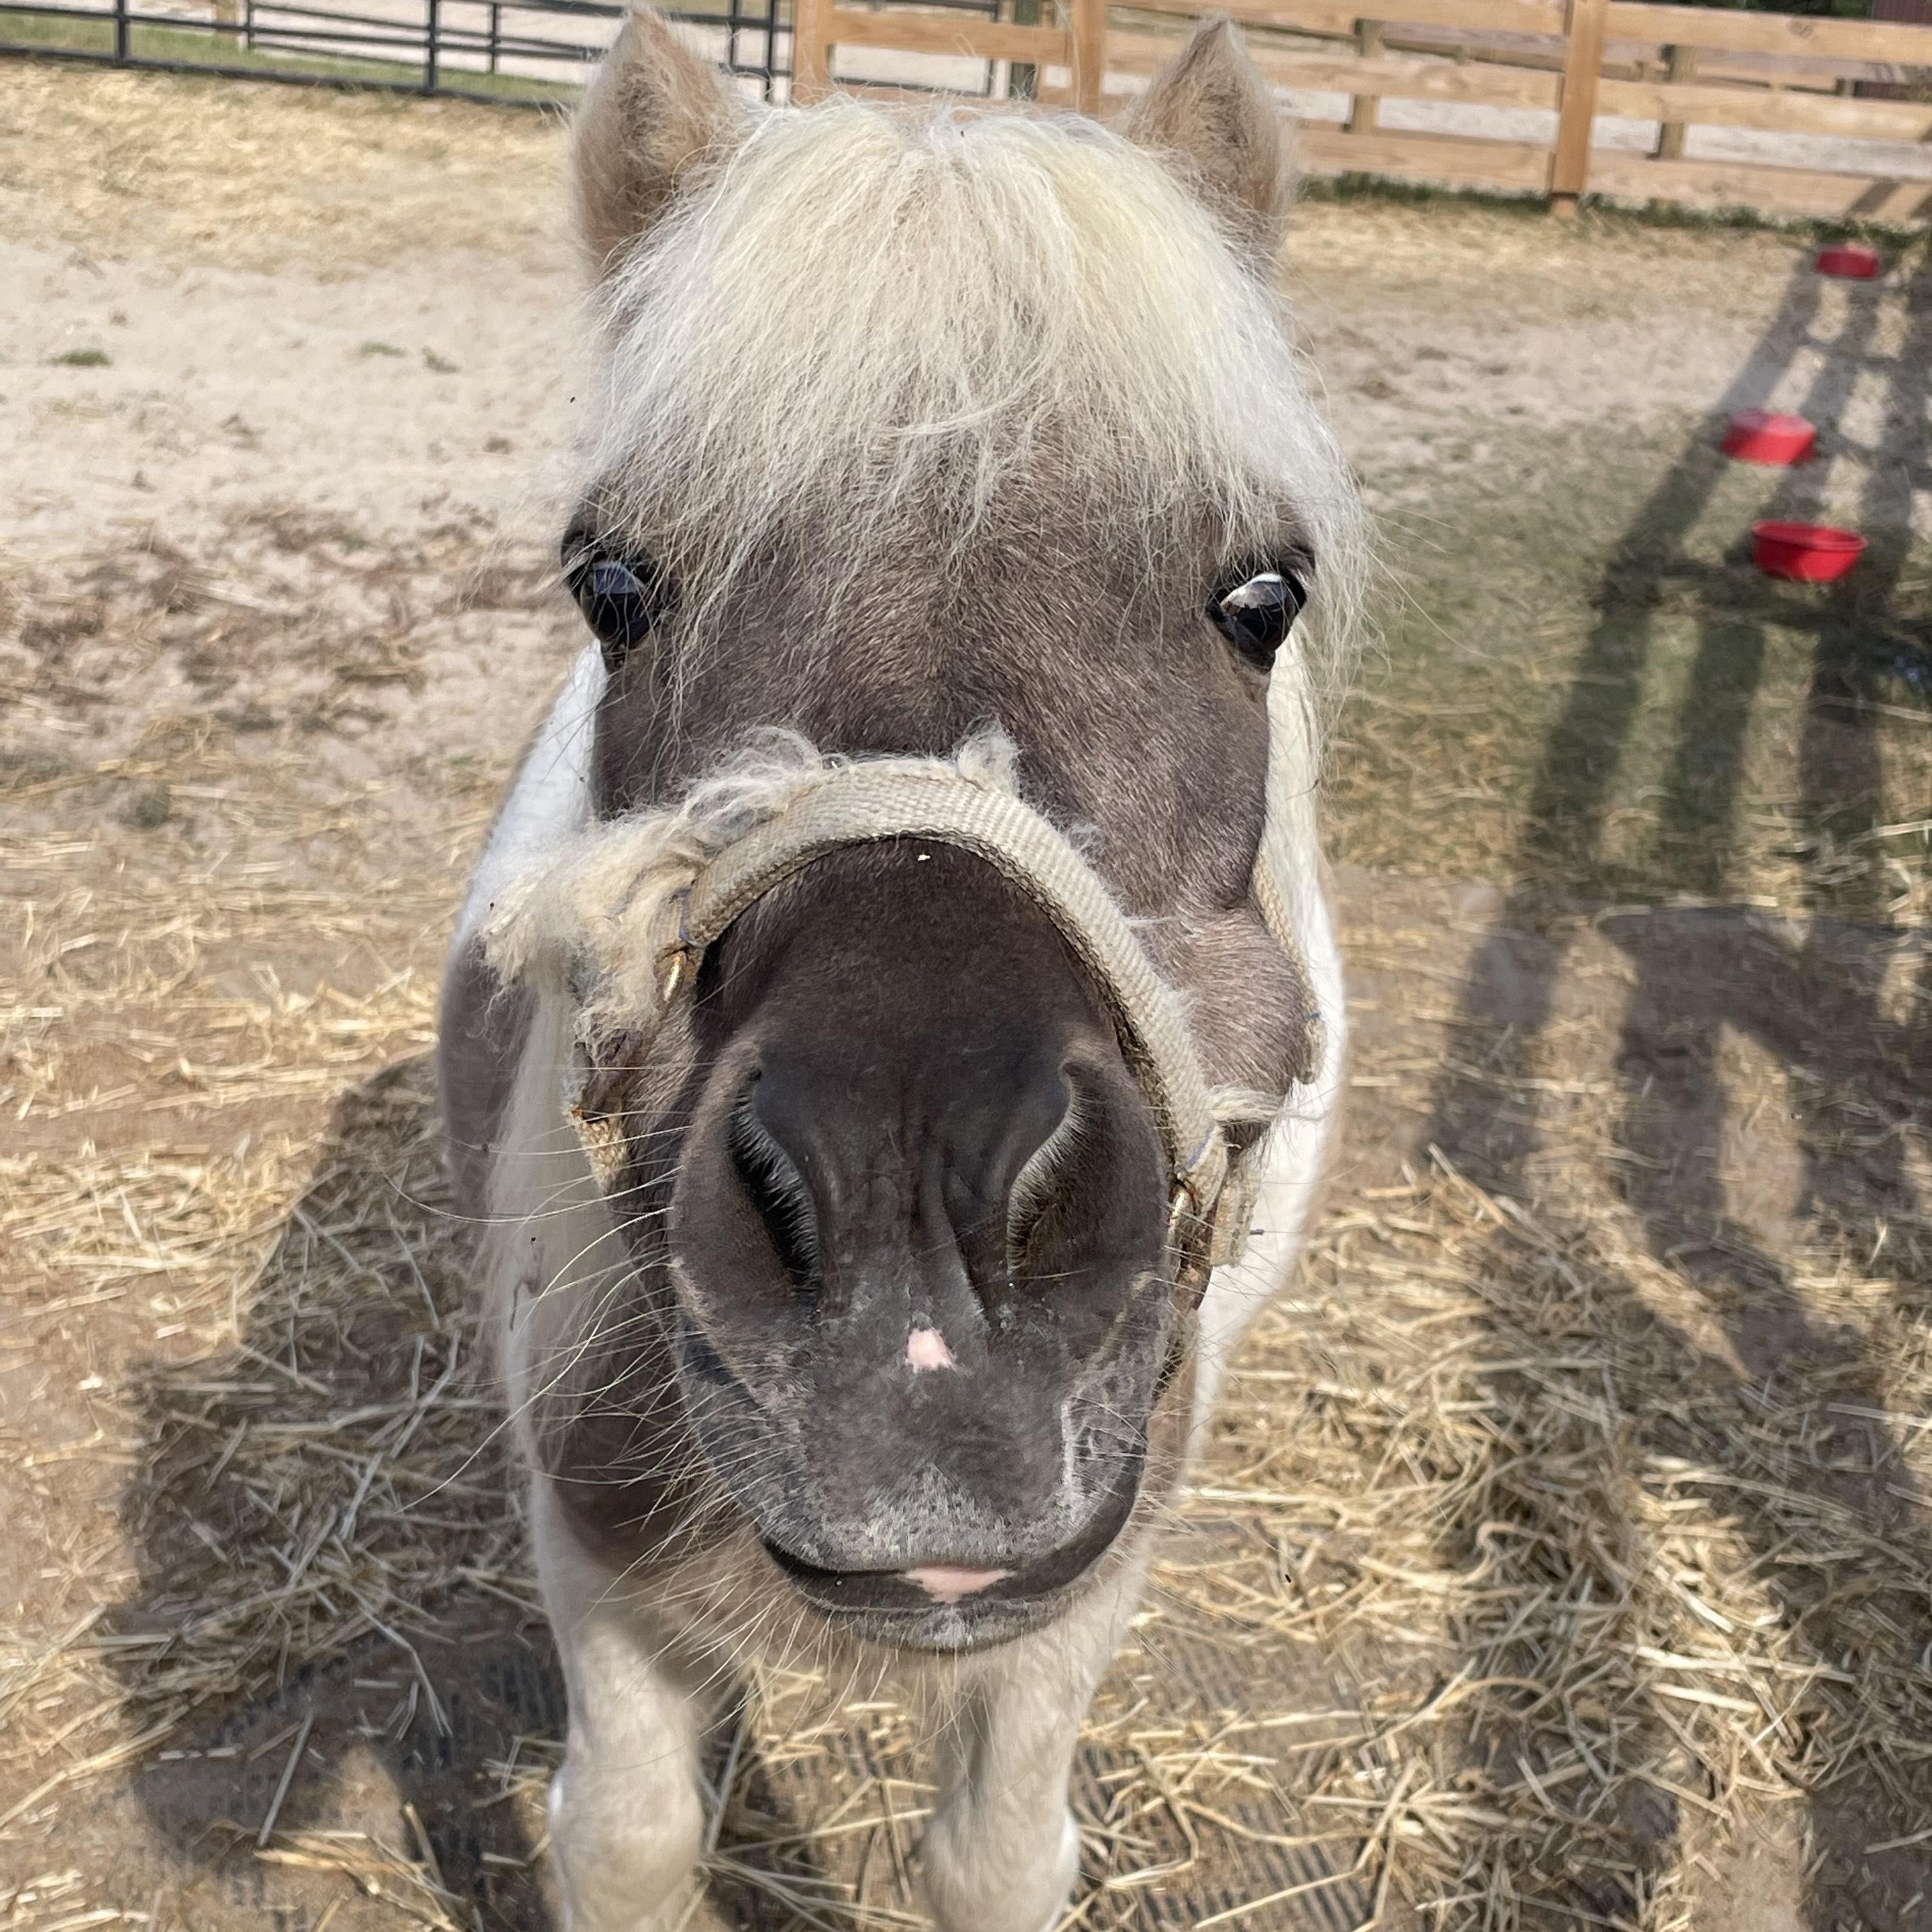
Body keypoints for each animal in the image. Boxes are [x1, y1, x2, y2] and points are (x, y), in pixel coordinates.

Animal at [437, 13, 1364, 1927]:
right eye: (612, 584)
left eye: (1262, 596)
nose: (911, 1278)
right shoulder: (594, 1560)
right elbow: (627, 1834)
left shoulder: (1080, 1585)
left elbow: (996, 1855)